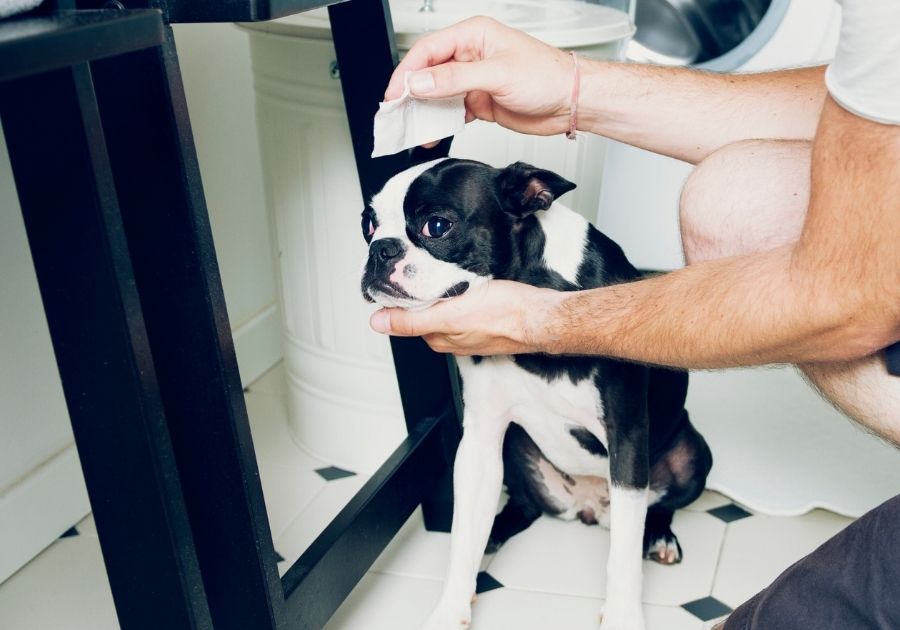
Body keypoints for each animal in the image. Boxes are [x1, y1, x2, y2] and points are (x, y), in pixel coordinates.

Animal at [358, 158, 712, 630]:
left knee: (657, 505)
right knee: (522, 506)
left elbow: (622, 554)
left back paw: (658, 536)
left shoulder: (628, 436)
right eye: (368, 224)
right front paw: (451, 608)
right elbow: (464, 536)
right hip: (512, 449)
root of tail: (588, 506)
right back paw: (493, 534)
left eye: (437, 226)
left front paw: (622, 615)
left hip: (693, 454)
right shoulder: (479, 442)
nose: (381, 249)